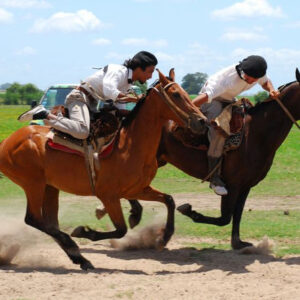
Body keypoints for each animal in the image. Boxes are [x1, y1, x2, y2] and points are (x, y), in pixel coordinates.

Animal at [0, 69, 206, 270]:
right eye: (176, 94)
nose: (202, 121)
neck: (128, 144)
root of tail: (6, 142)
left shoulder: (137, 189)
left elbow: (169, 200)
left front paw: (164, 237)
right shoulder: (109, 196)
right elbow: (121, 229)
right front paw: (83, 231)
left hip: (50, 187)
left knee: (50, 222)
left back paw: (79, 257)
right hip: (33, 185)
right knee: (33, 219)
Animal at [125, 68, 300, 251]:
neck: (256, 133)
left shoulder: (246, 186)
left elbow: (237, 214)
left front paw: (238, 242)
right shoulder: (233, 185)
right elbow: (225, 218)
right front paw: (190, 211)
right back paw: (136, 215)